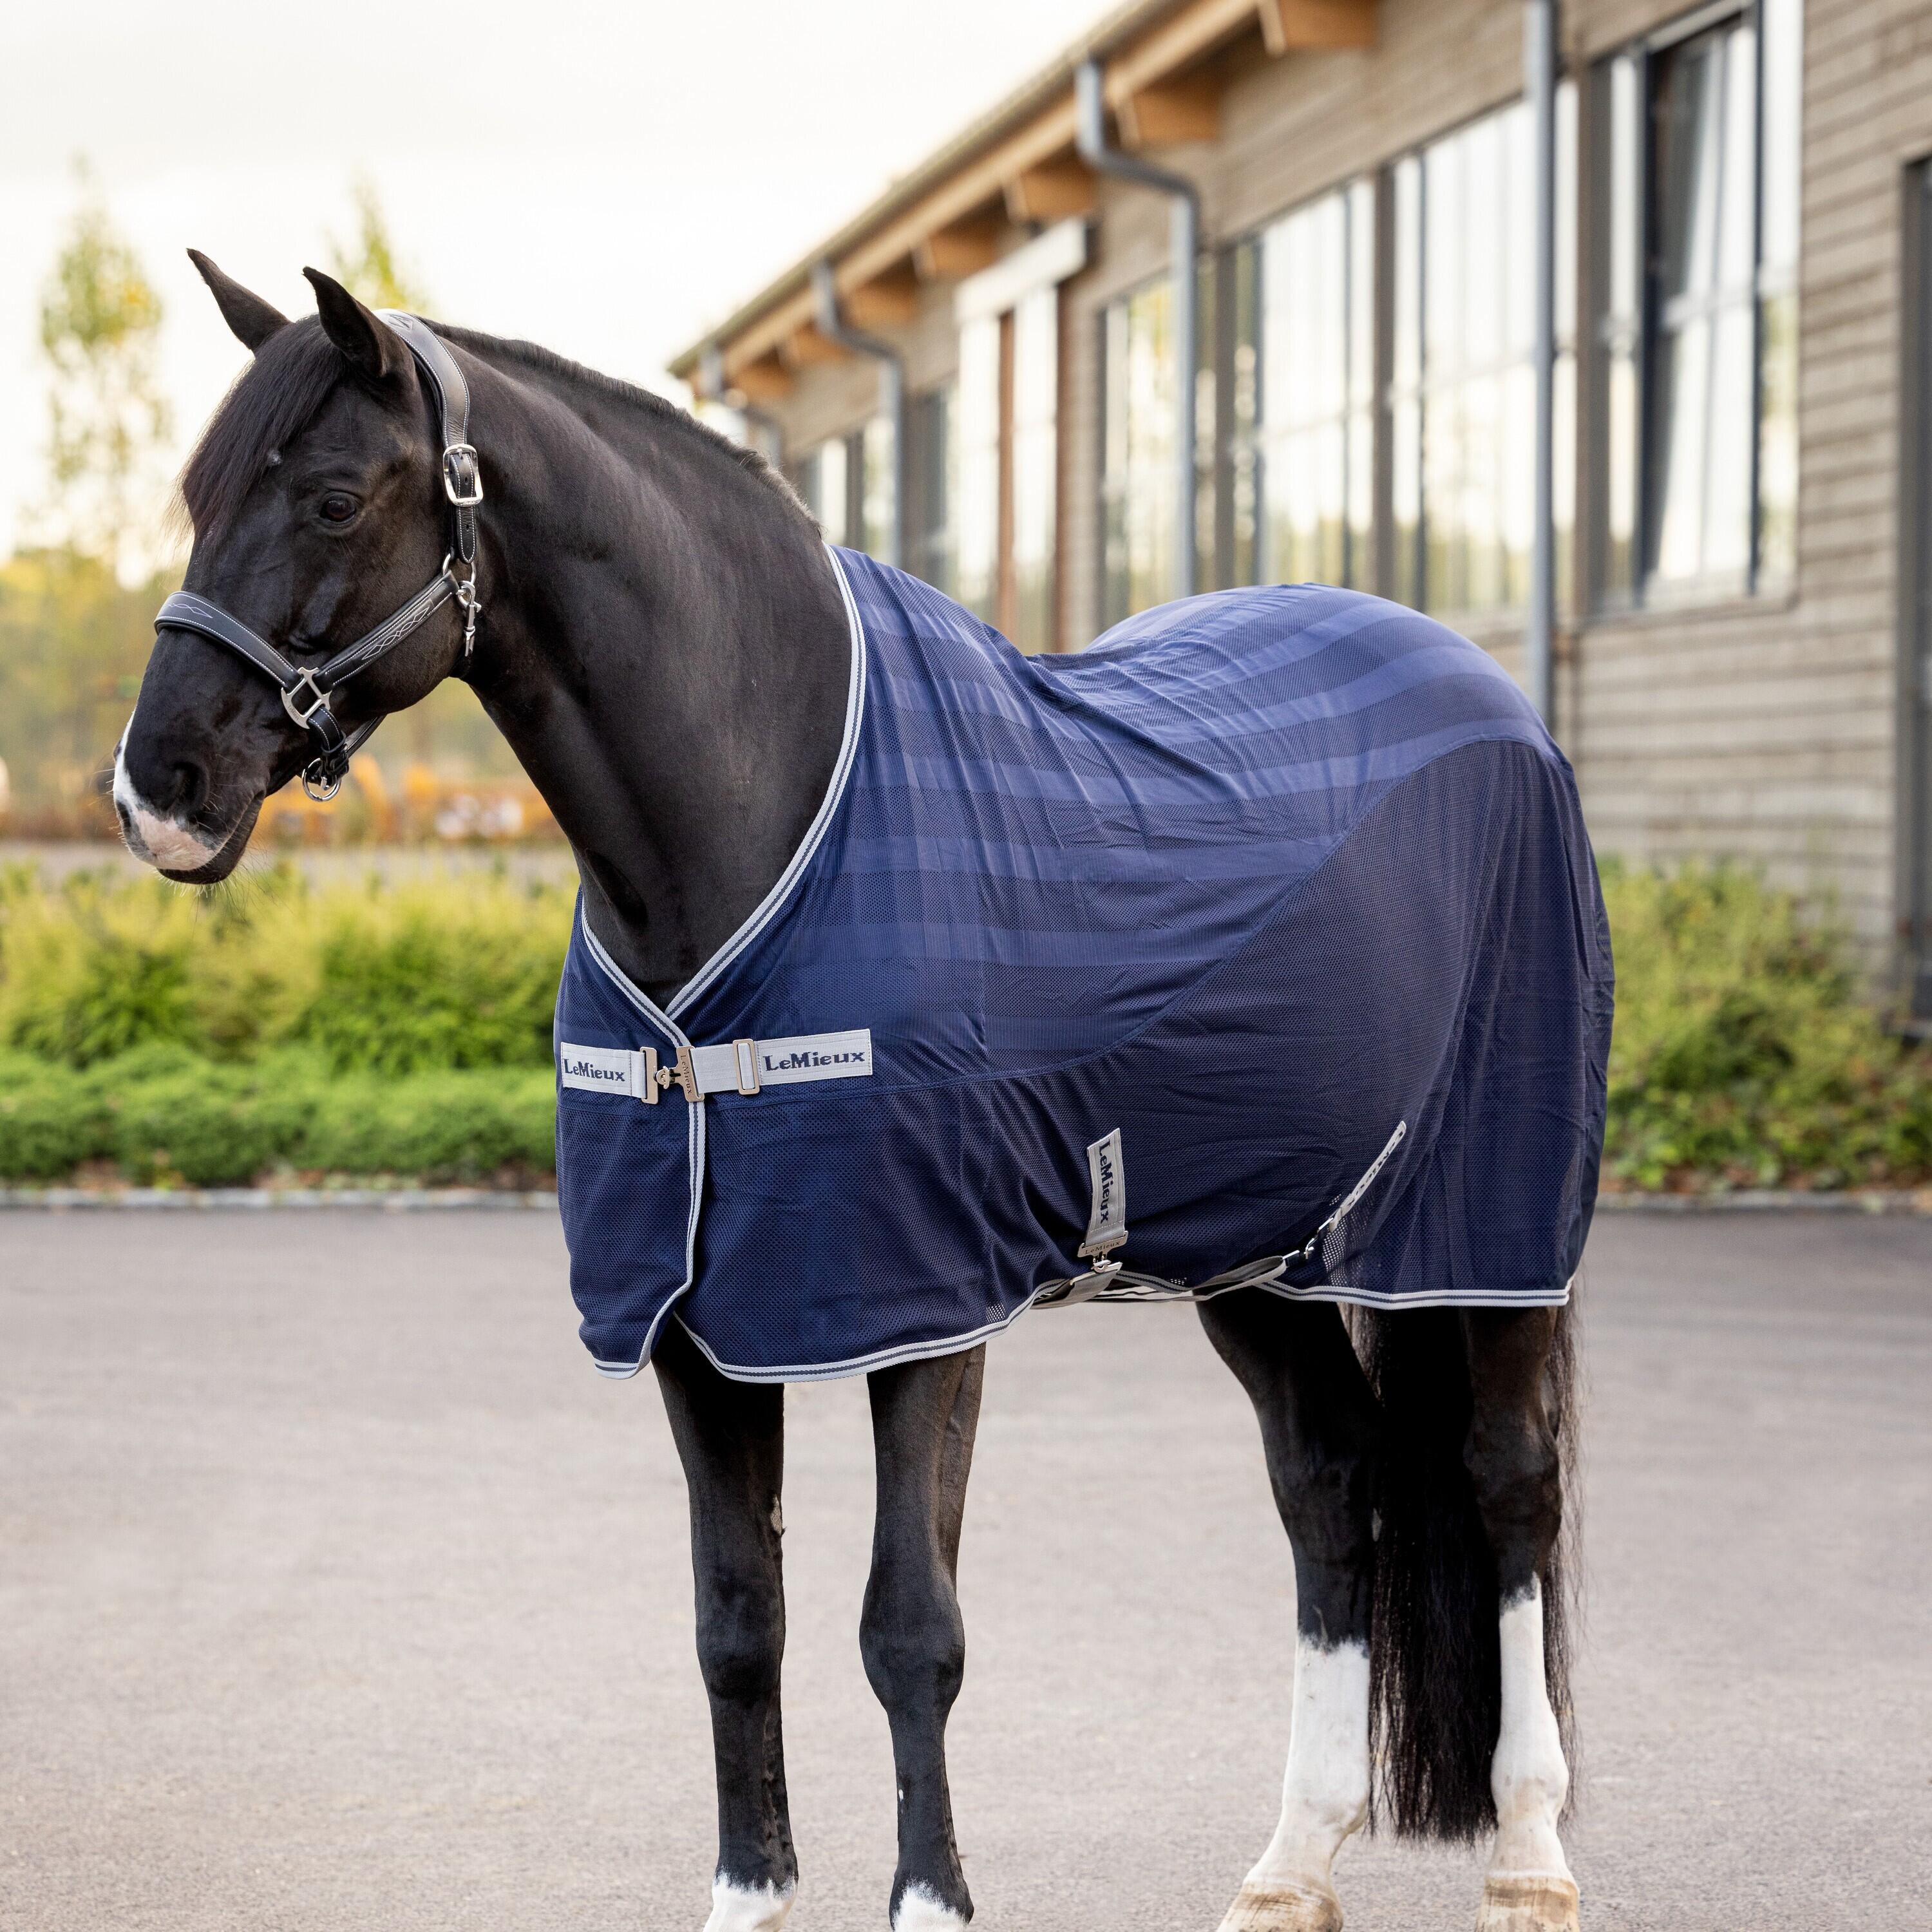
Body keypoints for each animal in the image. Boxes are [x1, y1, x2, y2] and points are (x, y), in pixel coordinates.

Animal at [114, 258, 1610, 1932]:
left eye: (325, 496)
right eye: (196, 495)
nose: (158, 792)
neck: (764, 825)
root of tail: (1487, 691)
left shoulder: (922, 1309)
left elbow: (910, 1628)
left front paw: (929, 1901)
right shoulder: (691, 1317)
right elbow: (734, 1620)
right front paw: (749, 1894)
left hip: (1484, 1226)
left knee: (1510, 1482)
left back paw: (1530, 1853)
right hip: (1253, 1242)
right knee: (1329, 1481)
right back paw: (1293, 1861)